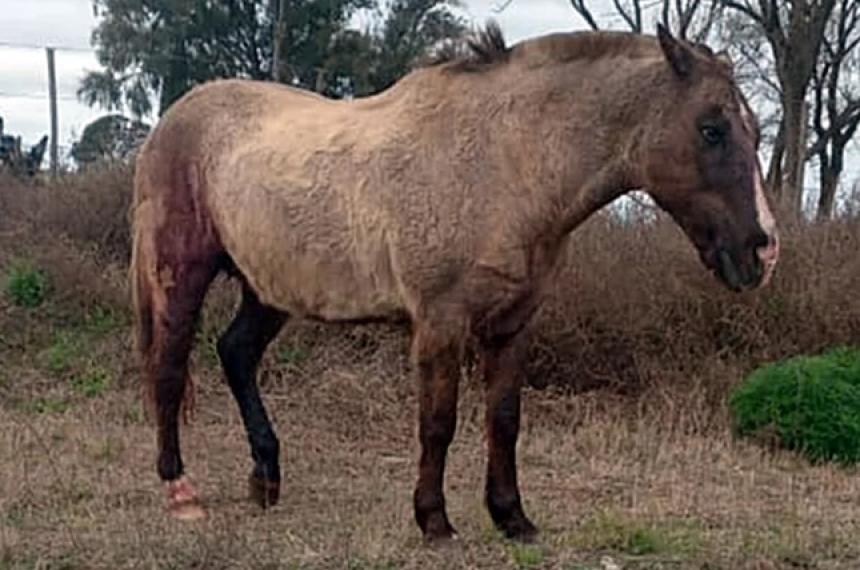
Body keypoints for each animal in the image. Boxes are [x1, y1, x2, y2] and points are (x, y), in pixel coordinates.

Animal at [129, 23, 779, 543]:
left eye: (754, 130)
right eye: (712, 128)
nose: (763, 250)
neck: (503, 163)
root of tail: (171, 121)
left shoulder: (513, 325)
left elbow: (504, 421)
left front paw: (512, 518)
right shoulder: (441, 324)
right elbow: (438, 424)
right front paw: (434, 521)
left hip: (268, 288)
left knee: (235, 354)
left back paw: (265, 479)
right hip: (181, 273)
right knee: (169, 368)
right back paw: (180, 490)